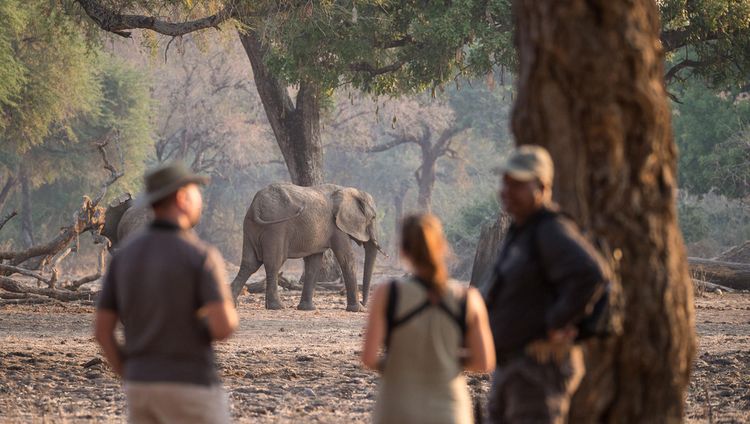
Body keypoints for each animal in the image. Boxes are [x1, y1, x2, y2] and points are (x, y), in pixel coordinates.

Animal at [231, 182, 384, 312]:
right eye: (373, 218)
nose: (364, 303)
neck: (349, 190)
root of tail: (256, 203)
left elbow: (314, 263)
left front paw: (307, 308)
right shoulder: (337, 227)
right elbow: (347, 259)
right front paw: (358, 310)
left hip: (250, 226)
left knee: (249, 264)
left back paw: (232, 304)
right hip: (275, 228)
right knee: (273, 263)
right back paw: (278, 307)